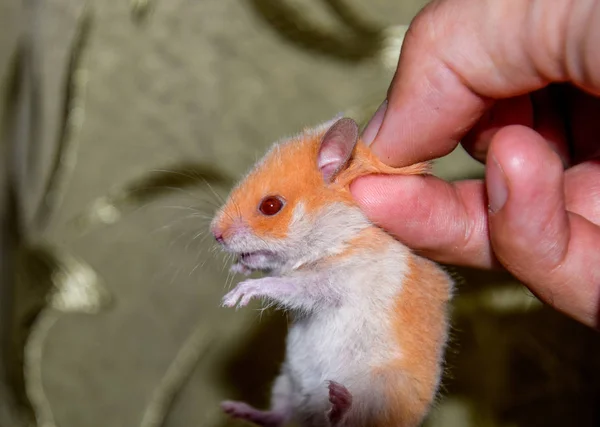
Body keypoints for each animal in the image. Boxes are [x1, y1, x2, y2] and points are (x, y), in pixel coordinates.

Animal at [213, 117, 452, 427]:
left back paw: (339, 400)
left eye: (270, 206)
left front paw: (237, 295)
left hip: (382, 392)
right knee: (278, 416)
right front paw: (240, 266)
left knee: (347, 420)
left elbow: (285, 285)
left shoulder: (333, 284)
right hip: (286, 380)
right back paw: (236, 408)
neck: (339, 231)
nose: (215, 234)